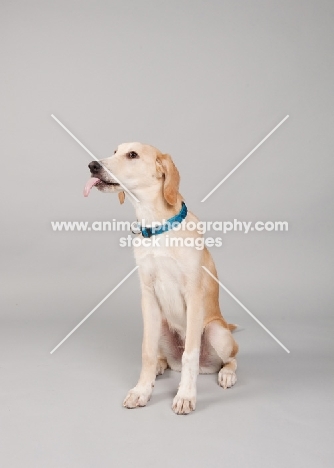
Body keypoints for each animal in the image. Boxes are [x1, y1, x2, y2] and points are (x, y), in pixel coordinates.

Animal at [85, 142, 239, 414]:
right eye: (114, 152)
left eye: (132, 155)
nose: (93, 165)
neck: (157, 227)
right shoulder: (148, 295)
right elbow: (146, 352)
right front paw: (142, 390)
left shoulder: (194, 294)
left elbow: (190, 353)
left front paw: (186, 395)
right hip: (161, 325)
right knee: (162, 358)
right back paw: (159, 366)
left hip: (217, 332)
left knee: (231, 358)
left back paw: (226, 374)